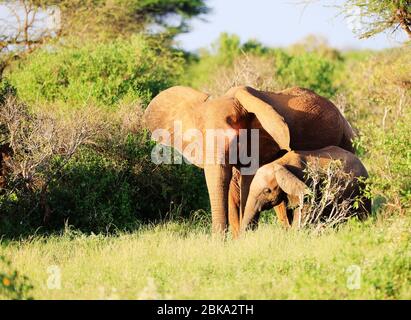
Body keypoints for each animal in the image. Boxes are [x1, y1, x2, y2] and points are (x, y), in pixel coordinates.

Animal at [240, 146, 372, 234]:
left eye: (267, 191)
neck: (279, 163)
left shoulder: (306, 180)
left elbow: (304, 208)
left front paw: (295, 234)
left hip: (362, 189)